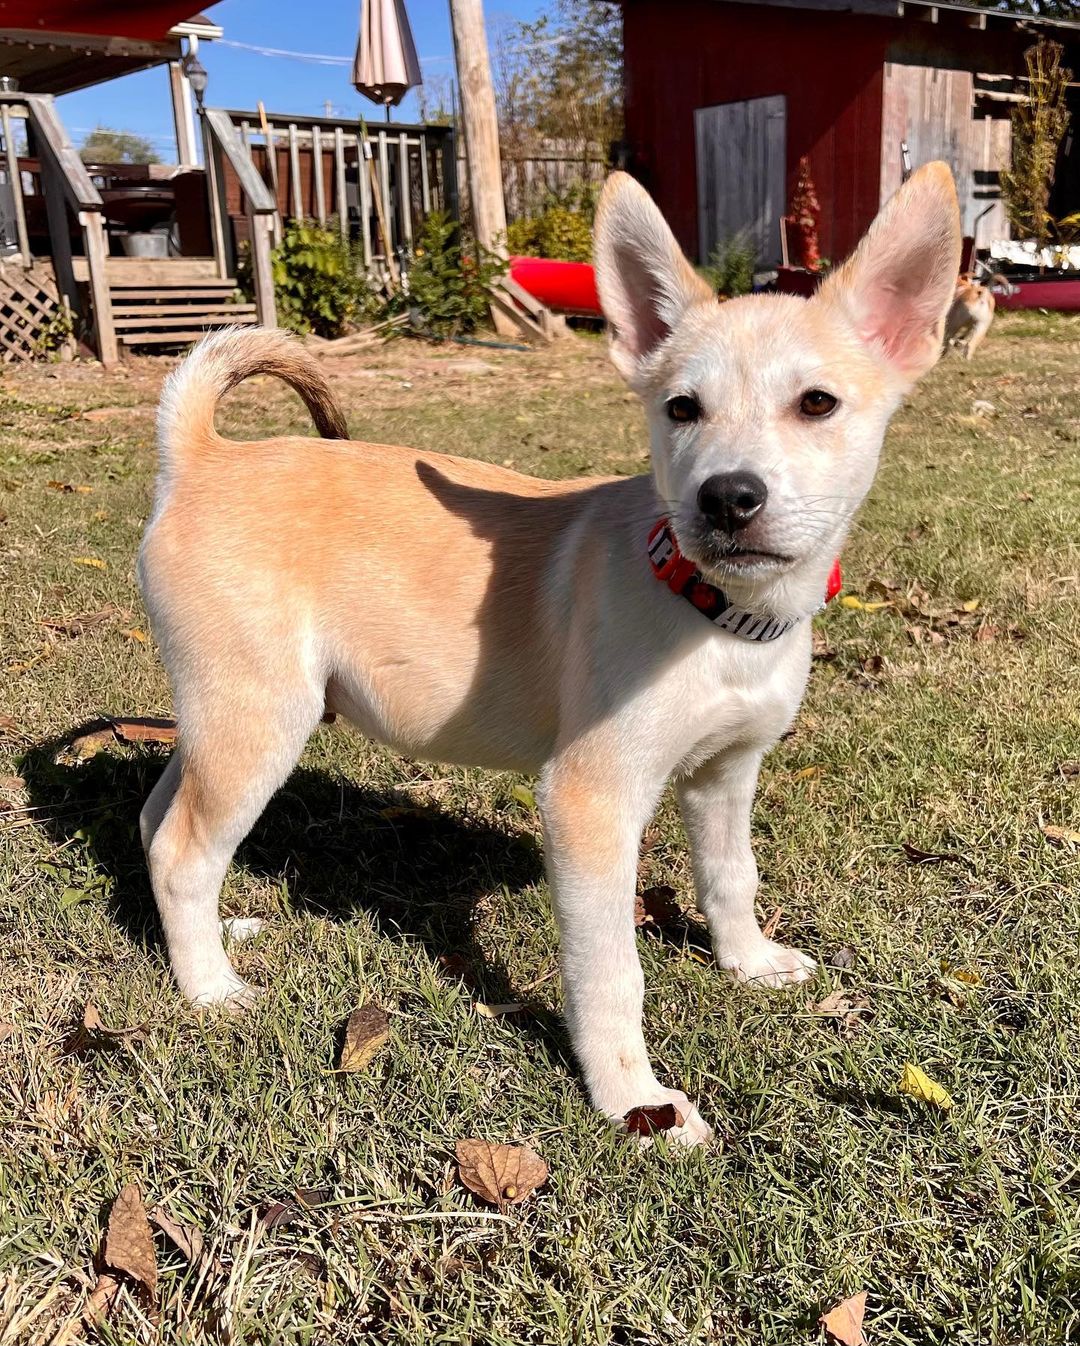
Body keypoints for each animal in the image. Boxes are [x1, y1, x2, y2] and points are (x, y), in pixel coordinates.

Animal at [138, 162, 953, 1141]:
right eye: (681, 409)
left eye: (818, 404)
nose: (727, 499)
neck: (717, 617)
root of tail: (201, 458)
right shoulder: (588, 800)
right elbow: (611, 974)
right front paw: (635, 1101)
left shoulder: (726, 774)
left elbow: (732, 876)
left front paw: (749, 962)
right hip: (261, 719)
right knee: (184, 850)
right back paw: (211, 990)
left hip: (219, 713)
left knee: (155, 824)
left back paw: (212, 939)